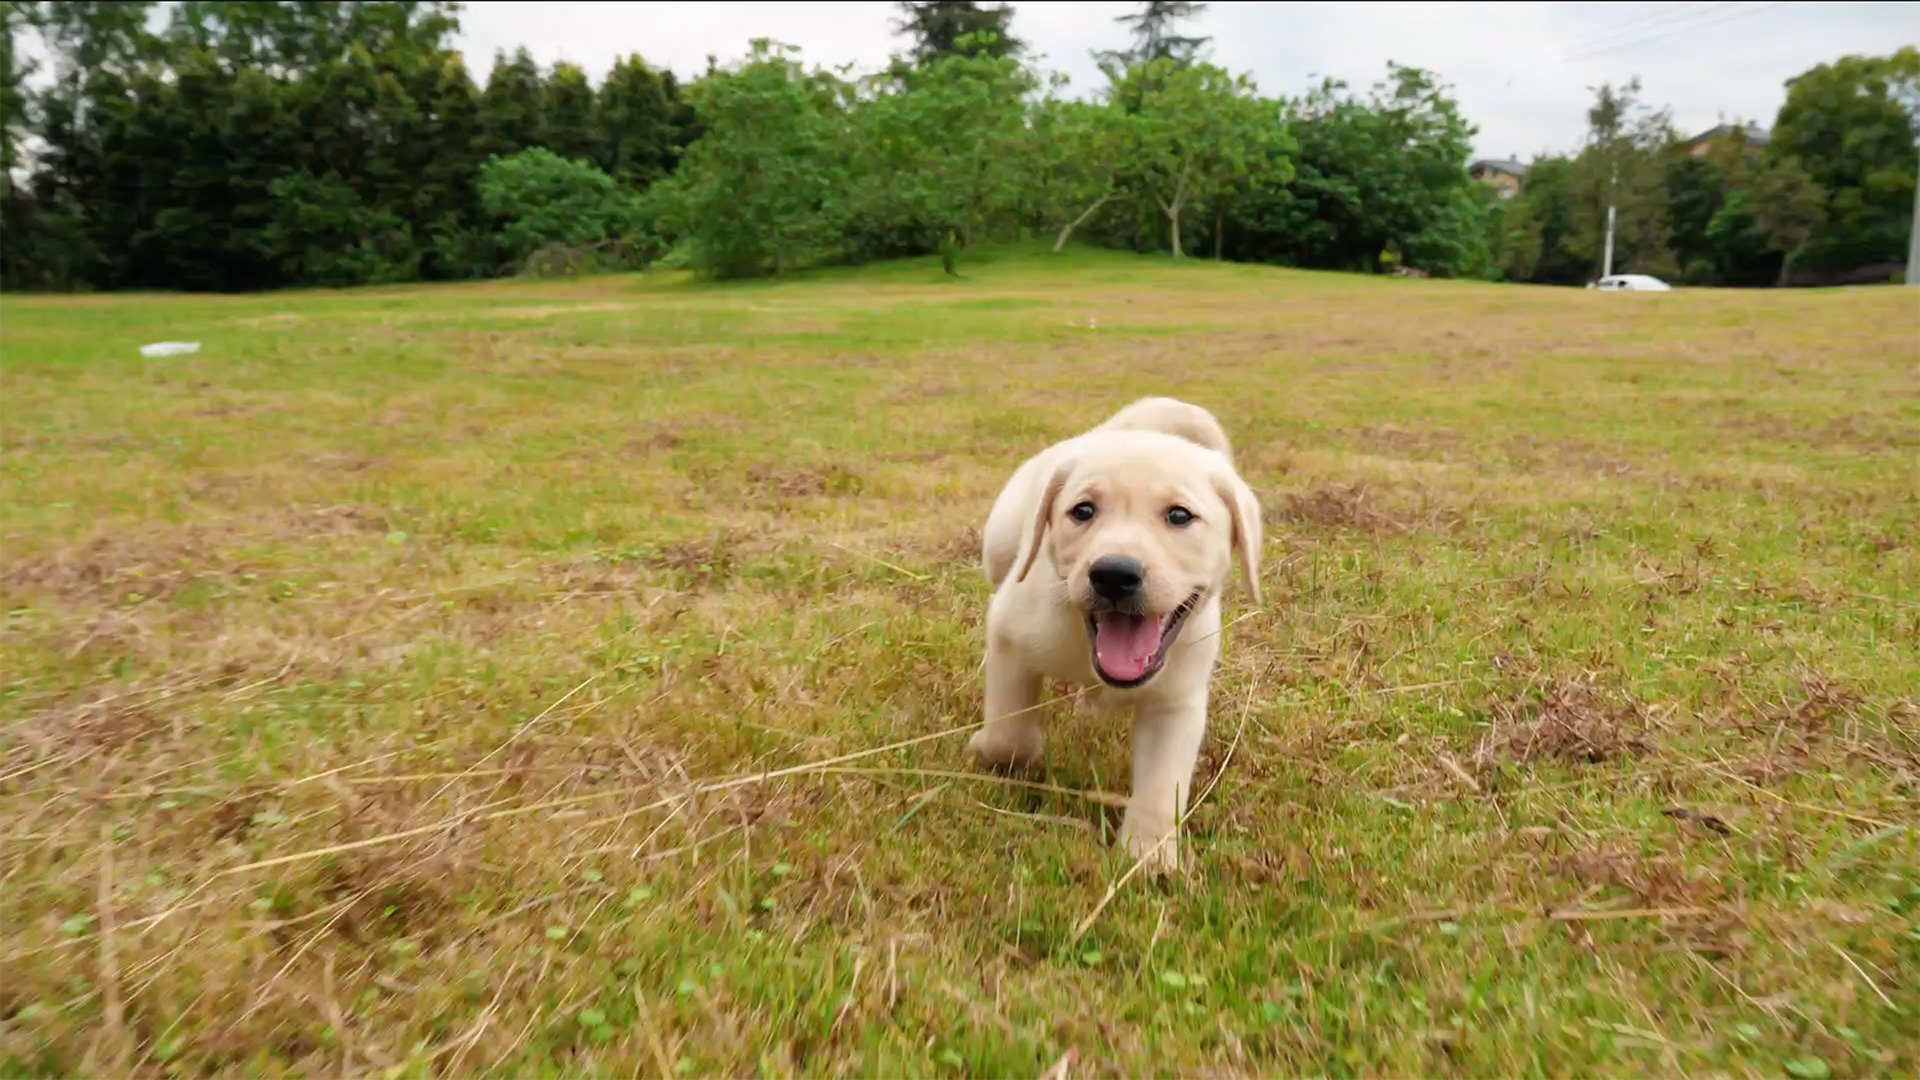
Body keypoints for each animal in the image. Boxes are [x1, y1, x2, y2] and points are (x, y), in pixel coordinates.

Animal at [975, 395, 1259, 864]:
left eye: (1179, 516)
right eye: (1083, 511)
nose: (1113, 574)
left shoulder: (1175, 703)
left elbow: (1161, 786)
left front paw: (1149, 856)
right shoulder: (1009, 639)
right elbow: (1007, 732)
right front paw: (999, 752)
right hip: (999, 545)